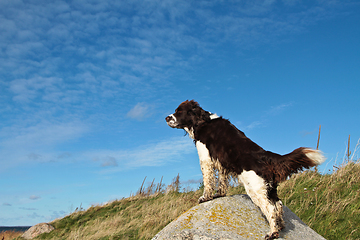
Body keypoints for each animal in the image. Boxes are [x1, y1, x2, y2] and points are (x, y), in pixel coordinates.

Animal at [166, 100, 326, 240]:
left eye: (179, 111)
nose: (166, 118)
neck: (204, 121)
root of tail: (266, 156)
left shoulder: (205, 157)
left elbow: (208, 182)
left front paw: (205, 198)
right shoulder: (222, 162)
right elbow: (222, 182)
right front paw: (219, 195)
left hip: (255, 189)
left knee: (270, 208)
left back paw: (272, 234)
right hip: (269, 188)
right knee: (278, 205)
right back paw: (280, 227)